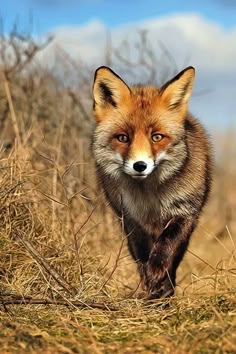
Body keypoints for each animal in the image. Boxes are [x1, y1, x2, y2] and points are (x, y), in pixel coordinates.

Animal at [91, 66, 212, 298]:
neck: (149, 199)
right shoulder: (131, 220)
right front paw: (151, 284)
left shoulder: (183, 213)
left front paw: (158, 274)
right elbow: (142, 256)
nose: (140, 165)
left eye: (157, 137)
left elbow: (166, 247)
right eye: (123, 138)